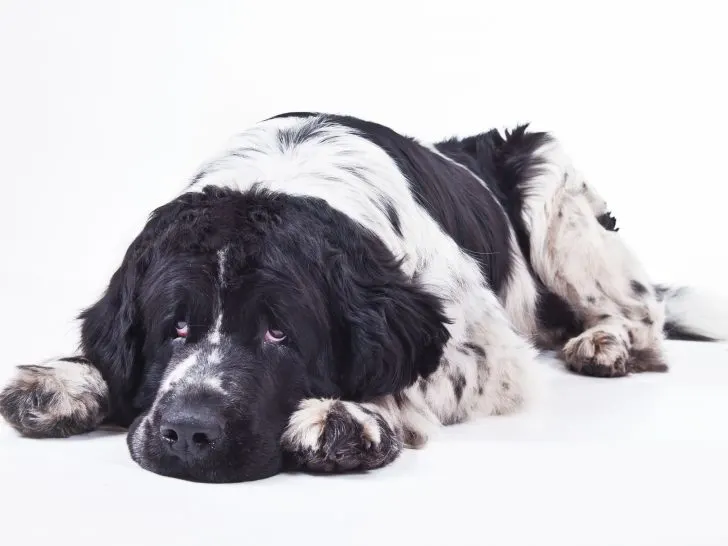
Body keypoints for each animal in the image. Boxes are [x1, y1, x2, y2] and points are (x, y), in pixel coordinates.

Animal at [1, 113, 728, 480]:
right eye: (171, 328)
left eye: (279, 333)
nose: (188, 432)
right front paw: (64, 381)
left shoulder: (488, 351)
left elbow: (419, 372)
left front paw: (351, 418)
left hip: (555, 193)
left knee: (641, 312)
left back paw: (605, 342)